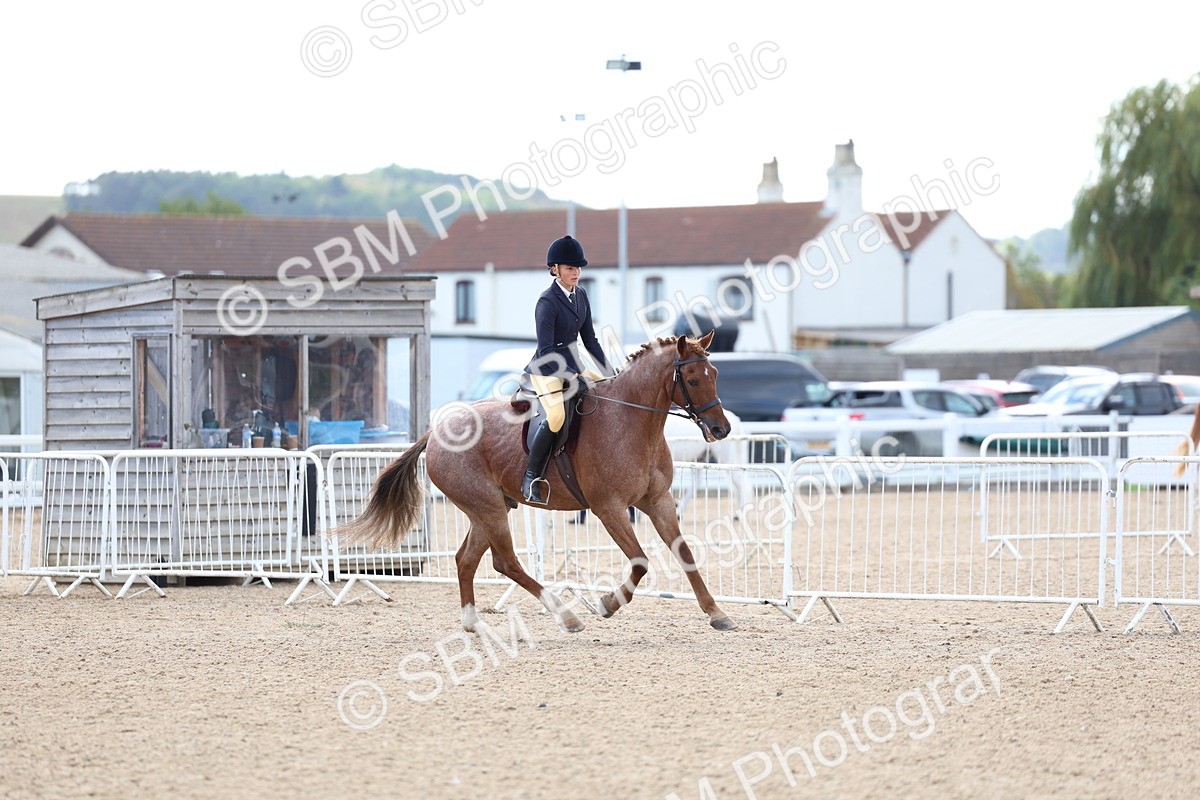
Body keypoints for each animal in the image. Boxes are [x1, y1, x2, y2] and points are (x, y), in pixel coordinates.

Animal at [343, 333, 738, 632]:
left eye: (715, 373)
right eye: (692, 379)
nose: (722, 429)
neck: (632, 422)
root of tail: (438, 430)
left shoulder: (658, 501)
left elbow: (685, 554)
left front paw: (717, 613)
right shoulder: (608, 508)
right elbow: (640, 562)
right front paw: (607, 603)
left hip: (489, 507)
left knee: (467, 560)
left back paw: (473, 623)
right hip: (486, 506)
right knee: (506, 563)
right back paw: (567, 616)